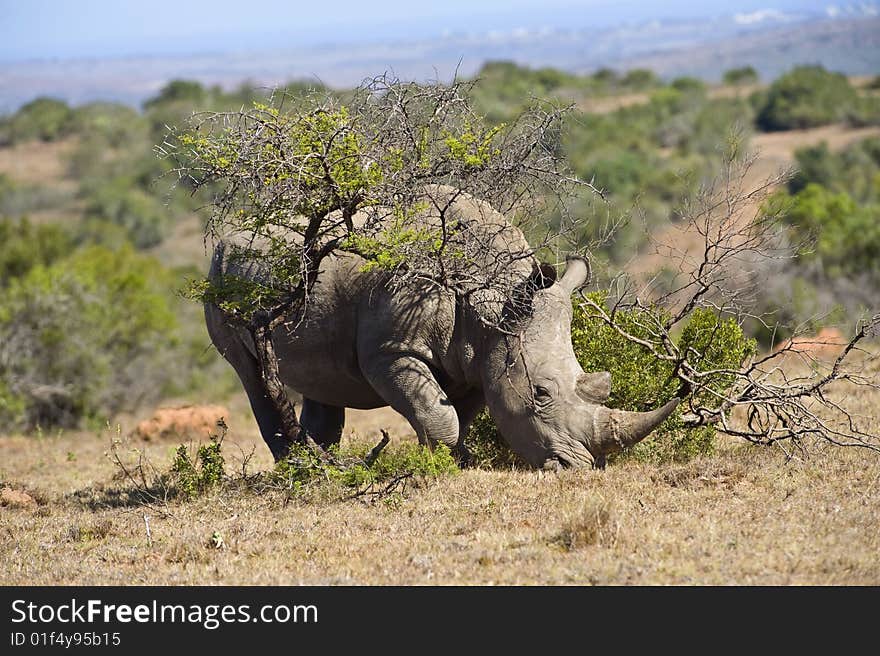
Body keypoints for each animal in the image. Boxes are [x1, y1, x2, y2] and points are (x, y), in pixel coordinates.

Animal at [205, 184, 672, 468]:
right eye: (540, 394)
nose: (582, 466)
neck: (493, 301)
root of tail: (228, 237)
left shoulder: (479, 359)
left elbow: (458, 414)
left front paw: (459, 461)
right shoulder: (393, 350)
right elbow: (437, 412)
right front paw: (437, 464)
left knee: (321, 378)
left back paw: (323, 458)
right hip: (220, 276)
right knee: (251, 373)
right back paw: (298, 467)